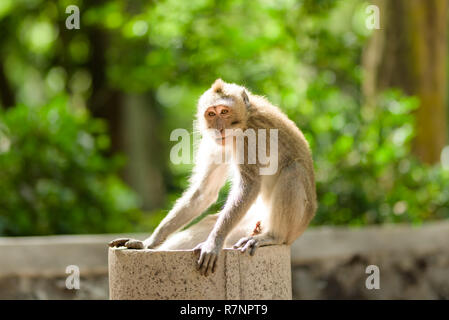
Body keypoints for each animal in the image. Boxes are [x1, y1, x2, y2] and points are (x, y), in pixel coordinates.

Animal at [110, 79, 316, 276]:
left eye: (224, 112)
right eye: (211, 114)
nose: (219, 128)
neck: (245, 119)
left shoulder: (250, 137)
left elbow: (249, 185)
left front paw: (213, 243)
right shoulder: (214, 142)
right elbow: (204, 192)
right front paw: (148, 242)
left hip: (294, 224)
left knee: (293, 171)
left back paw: (273, 236)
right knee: (210, 221)